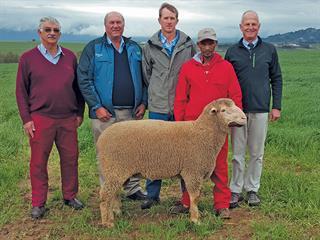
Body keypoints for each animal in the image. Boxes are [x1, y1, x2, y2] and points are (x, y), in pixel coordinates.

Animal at [96, 97, 246, 227]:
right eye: (224, 110)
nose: (244, 118)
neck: (203, 132)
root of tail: (101, 138)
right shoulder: (193, 171)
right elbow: (195, 197)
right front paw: (195, 219)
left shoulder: (192, 171)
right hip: (114, 168)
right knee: (105, 195)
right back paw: (107, 222)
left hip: (117, 171)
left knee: (114, 193)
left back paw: (116, 212)